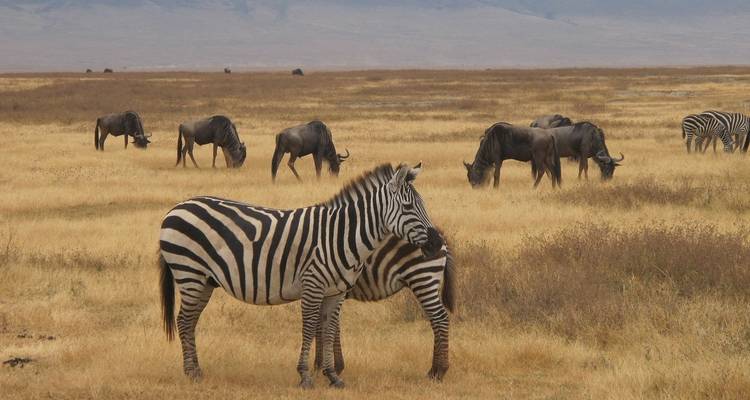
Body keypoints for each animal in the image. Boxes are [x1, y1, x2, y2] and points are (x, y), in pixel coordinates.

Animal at [158, 163, 436, 389]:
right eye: (408, 207)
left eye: (423, 205)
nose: (435, 244)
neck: (341, 236)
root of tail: (177, 207)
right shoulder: (312, 285)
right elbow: (309, 327)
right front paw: (305, 376)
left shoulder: (336, 292)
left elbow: (329, 329)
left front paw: (332, 376)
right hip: (189, 272)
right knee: (184, 320)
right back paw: (191, 372)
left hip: (204, 280)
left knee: (190, 321)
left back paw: (196, 370)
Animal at [314, 229, 455, 381]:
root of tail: (439, 234)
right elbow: (329, 326)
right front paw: (331, 366)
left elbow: (323, 327)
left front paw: (321, 366)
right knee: (435, 320)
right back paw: (433, 371)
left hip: (422, 277)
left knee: (440, 318)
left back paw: (440, 371)